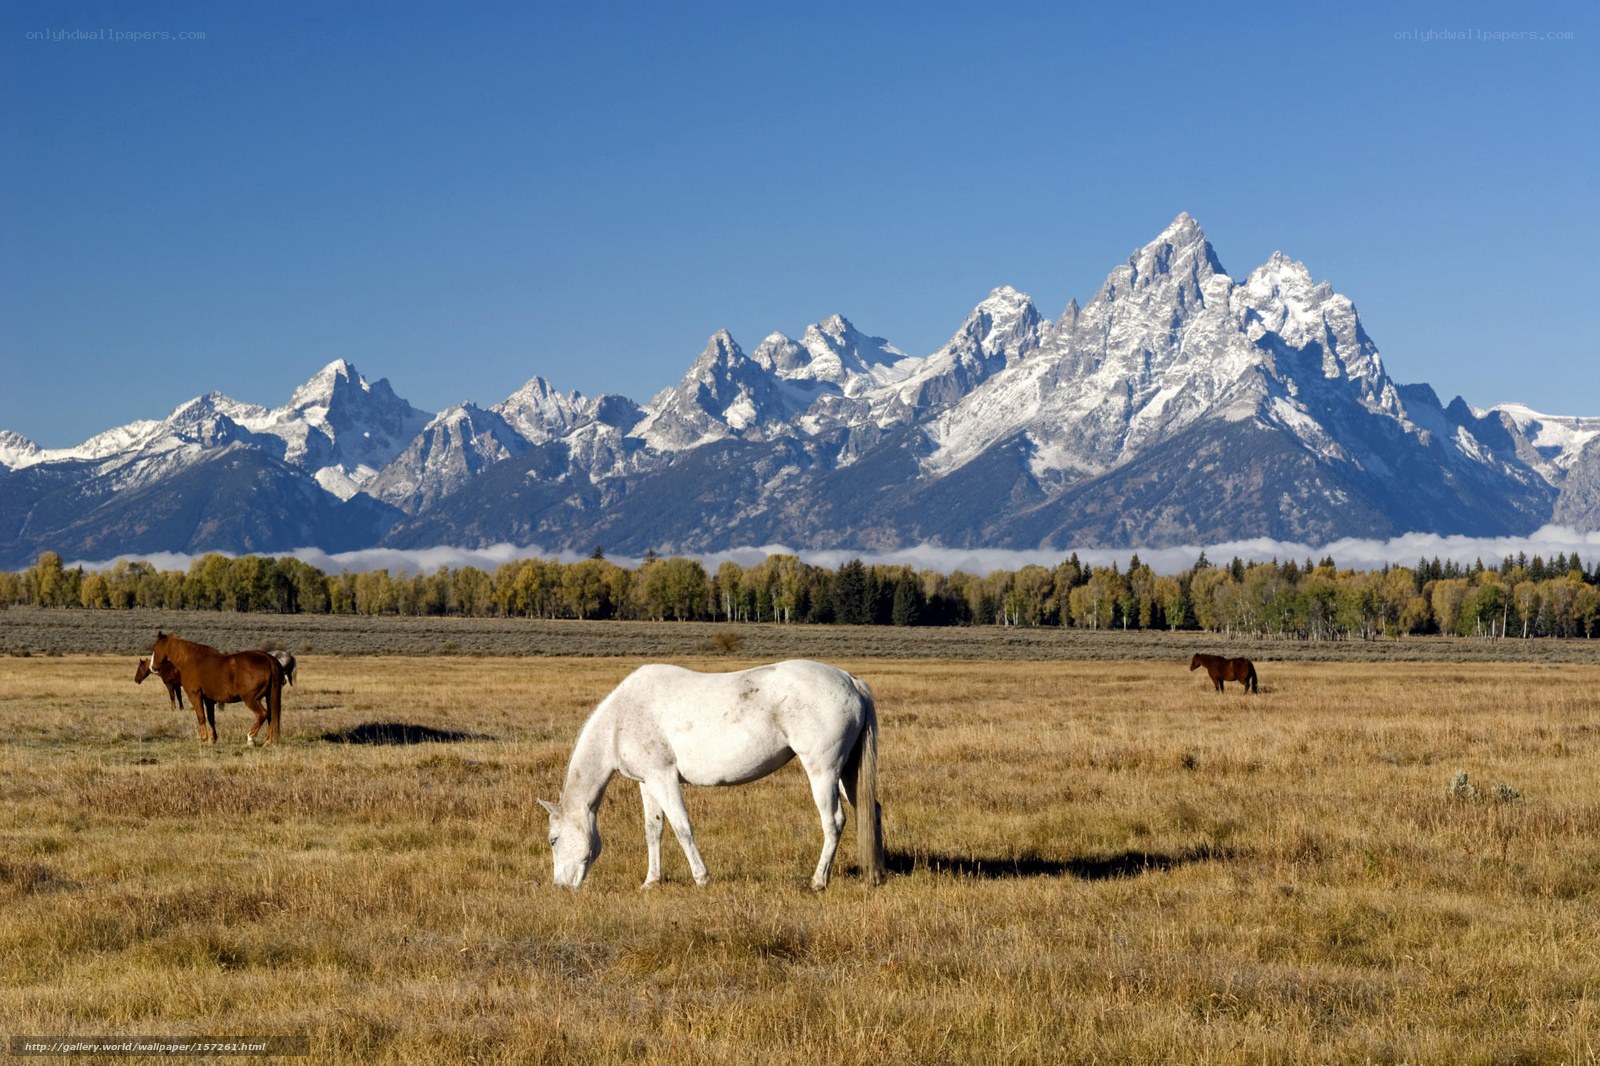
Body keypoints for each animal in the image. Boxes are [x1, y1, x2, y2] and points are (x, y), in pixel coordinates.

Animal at [150, 632, 285, 745]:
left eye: (155, 648)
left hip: (251, 699)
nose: (152, 667)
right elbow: (211, 718)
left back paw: (250, 738)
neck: (189, 660)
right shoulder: (209, 699)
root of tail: (269, 659)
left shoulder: (195, 695)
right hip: (268, 697)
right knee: (271, 716)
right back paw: (267, 741)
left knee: (262, 714)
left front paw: (203, 738)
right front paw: (213, 739)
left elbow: (201, 716)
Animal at [540, 659, 886, 891]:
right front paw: (652, 881)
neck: (621, 720)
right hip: (846, 772)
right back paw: (875, 873)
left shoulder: (664, 778)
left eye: (553, 839)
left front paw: (701, 878)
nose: (560, 887)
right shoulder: (648, 783)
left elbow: (682, 828)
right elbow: (654, 830)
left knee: (834, 821)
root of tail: (850, 681)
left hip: (823, 771)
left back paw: (817, 881)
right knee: (871, 811)